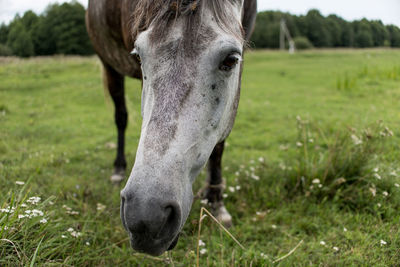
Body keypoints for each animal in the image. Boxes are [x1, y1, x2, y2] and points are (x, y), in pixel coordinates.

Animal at [86, 0, 256, 256]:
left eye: (230, 60)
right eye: (139, 55)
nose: (146, 217)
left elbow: (219, 143)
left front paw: (216, 202)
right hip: (110, 66)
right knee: (121, 117)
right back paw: (118, 168)